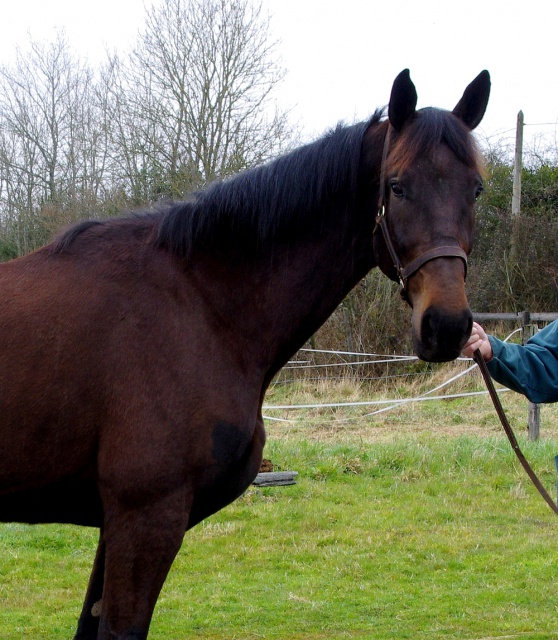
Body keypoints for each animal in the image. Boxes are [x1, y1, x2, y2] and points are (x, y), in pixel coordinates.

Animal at [0, 67, 490, 636]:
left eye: (476, 189)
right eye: (397, 186)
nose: (447, 326)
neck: (200, 303)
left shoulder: (116, 521)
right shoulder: (144, 516)